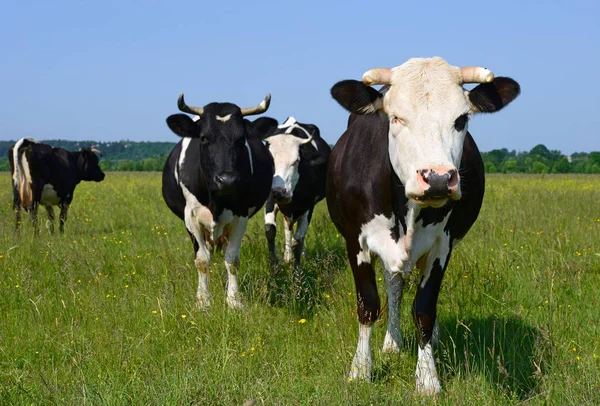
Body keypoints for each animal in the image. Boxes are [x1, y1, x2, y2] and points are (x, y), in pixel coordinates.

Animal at [162, 92, 278, 308]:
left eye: (241, 139)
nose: (227, 179)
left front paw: (234, 300)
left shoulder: (240, 215)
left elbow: (232, 259)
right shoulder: (191, 217)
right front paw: (203, 301)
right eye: (204, 138)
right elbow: (201, 260)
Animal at [262, 116, 330, 264]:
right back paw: (287, 256)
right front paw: (275, 264)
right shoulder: (270, 199)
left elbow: (298, 240)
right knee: (287, 228)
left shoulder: (308, 205)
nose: (279, 191)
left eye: (297, 161)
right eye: (270, 160)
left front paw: (297, 268)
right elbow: (270, 230)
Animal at [324, 57, 520, 394]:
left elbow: (425, 309)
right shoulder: (355, 240)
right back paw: (392, 342)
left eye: (461, 119)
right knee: (394, 285)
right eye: (396, 118)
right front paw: (361, 369)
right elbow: (368, 304)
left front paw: (427, 377)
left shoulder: (443, 245)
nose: (439, 178)